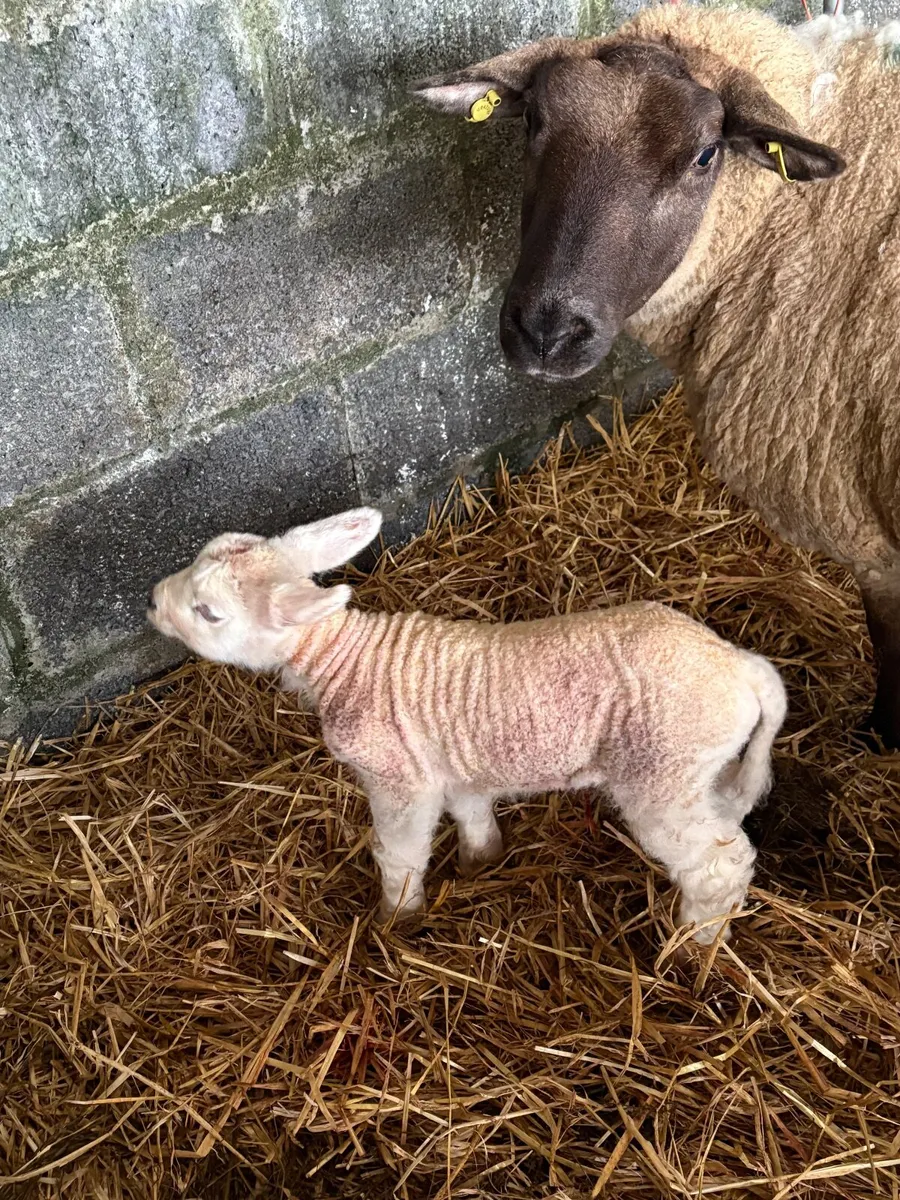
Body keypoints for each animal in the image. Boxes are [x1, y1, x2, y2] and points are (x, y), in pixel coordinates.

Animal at [148, 506, 787, 944]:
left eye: (209, 613)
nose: (152, 601)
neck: (345, 659)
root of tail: (739, 666)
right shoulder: (451, 764)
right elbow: (473, 812)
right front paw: (481, 864)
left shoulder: (398, 778)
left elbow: (400, 852)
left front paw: (396, 918)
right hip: (704, 767)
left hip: (662, 771)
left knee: (719, 863)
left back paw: (693, 945)